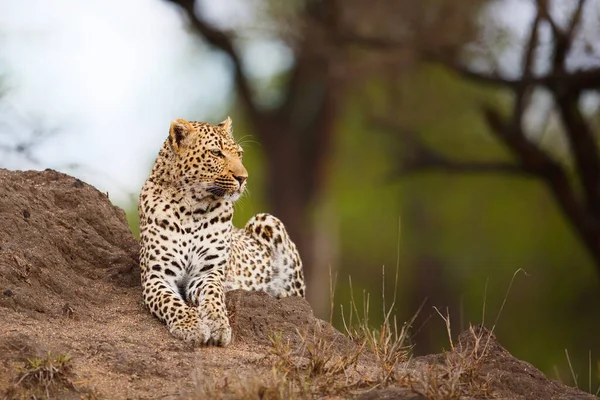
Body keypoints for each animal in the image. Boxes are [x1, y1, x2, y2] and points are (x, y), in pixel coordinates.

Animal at [139, 116, 304, 346]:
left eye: (239, 154)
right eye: (216, 153)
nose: (243, 178)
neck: (191, 209)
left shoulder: (208, 272)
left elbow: (213, 296)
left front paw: (218, 323)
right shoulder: (156, 276)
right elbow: (170, 302)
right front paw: (191, 326)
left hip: (267, 221)